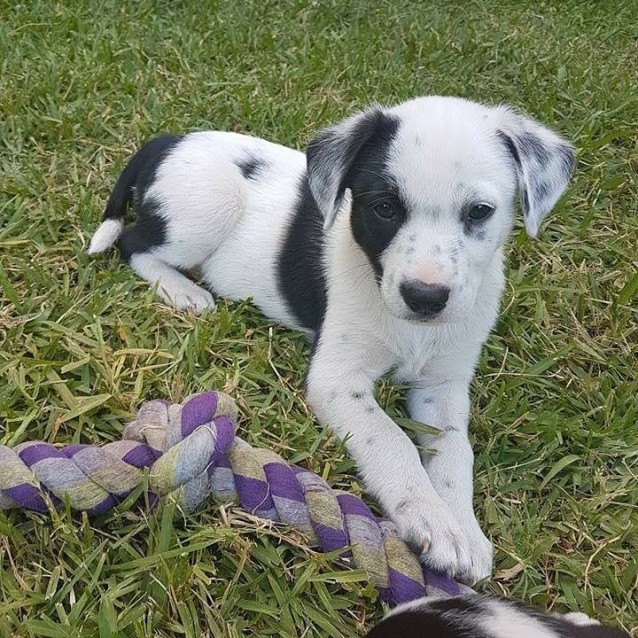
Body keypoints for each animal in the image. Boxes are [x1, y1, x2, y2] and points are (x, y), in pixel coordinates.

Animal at [86, 94, 576, 584]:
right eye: (384, 208)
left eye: (479, 212)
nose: (425, 297)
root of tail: (171, 139)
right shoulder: (337, 380)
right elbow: (391, 440)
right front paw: (428, 516)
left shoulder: (443, 384)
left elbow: (456, 450)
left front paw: (462, 529)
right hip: (206, 209)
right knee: (133, 244)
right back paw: (184, 291)